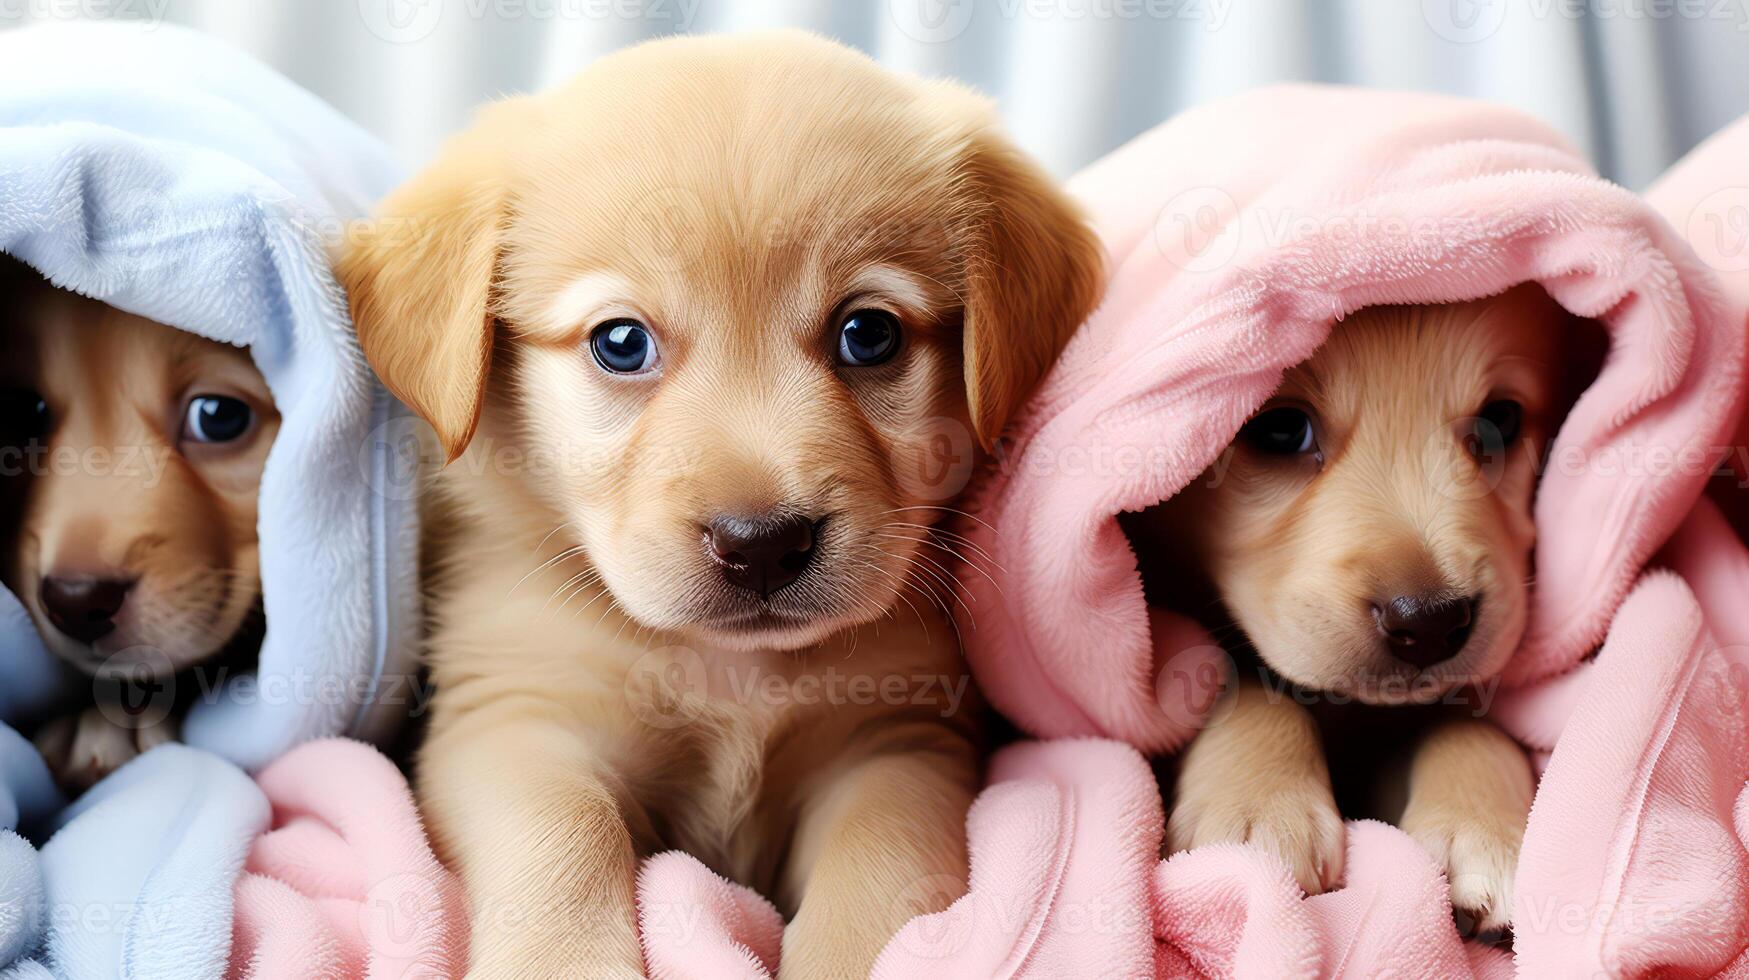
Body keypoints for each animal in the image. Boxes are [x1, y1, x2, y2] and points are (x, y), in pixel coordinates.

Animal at [341, 30, 1098, 980]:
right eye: (620, 343)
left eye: (869, 334)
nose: (762, 544)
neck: (731, 671)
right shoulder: (514, 720)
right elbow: (563, 832)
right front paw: (560, 961)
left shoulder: (895, 740)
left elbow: (875, 859)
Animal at [1133, 285, 1574, 931]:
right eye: (1281, 429)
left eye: (1500, 422)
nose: (1430, 621)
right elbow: (1245, 685)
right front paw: (1258, 808)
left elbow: (1465, 720)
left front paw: (1484, 828)